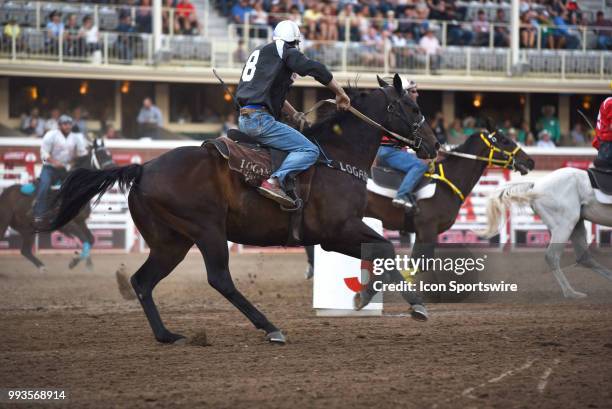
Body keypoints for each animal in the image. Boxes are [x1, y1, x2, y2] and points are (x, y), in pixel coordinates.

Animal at [0, 137, 114, 270]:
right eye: (101, 155)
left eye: (109, 154)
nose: (114, 168)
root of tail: (5, 193)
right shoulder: (68, 225)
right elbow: (84, 239)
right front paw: (76, 262)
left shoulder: (80, 222)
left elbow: (90, 239)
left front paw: (80, 262)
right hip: (4, 223)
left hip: (27, 229)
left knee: (25, 251)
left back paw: (42, 267)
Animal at [46, 74, 440, 344]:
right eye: (414, 108)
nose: (435, 145)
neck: (335, 156)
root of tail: (142, 168)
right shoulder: (338, 231)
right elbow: (384, 248)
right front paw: (409, 304)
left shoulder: (338, 234)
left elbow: (380, 249)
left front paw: (366, 296)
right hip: (207, 232)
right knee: (219, 279)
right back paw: (270, 328)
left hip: (171, 242)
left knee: (143, 281)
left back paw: (167, 335)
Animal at [482, 167, 612, 298]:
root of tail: (535, 185)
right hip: (565, 225)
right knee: (552, 256)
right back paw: (570, 293)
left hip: (577, 223)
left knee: (584, 258)